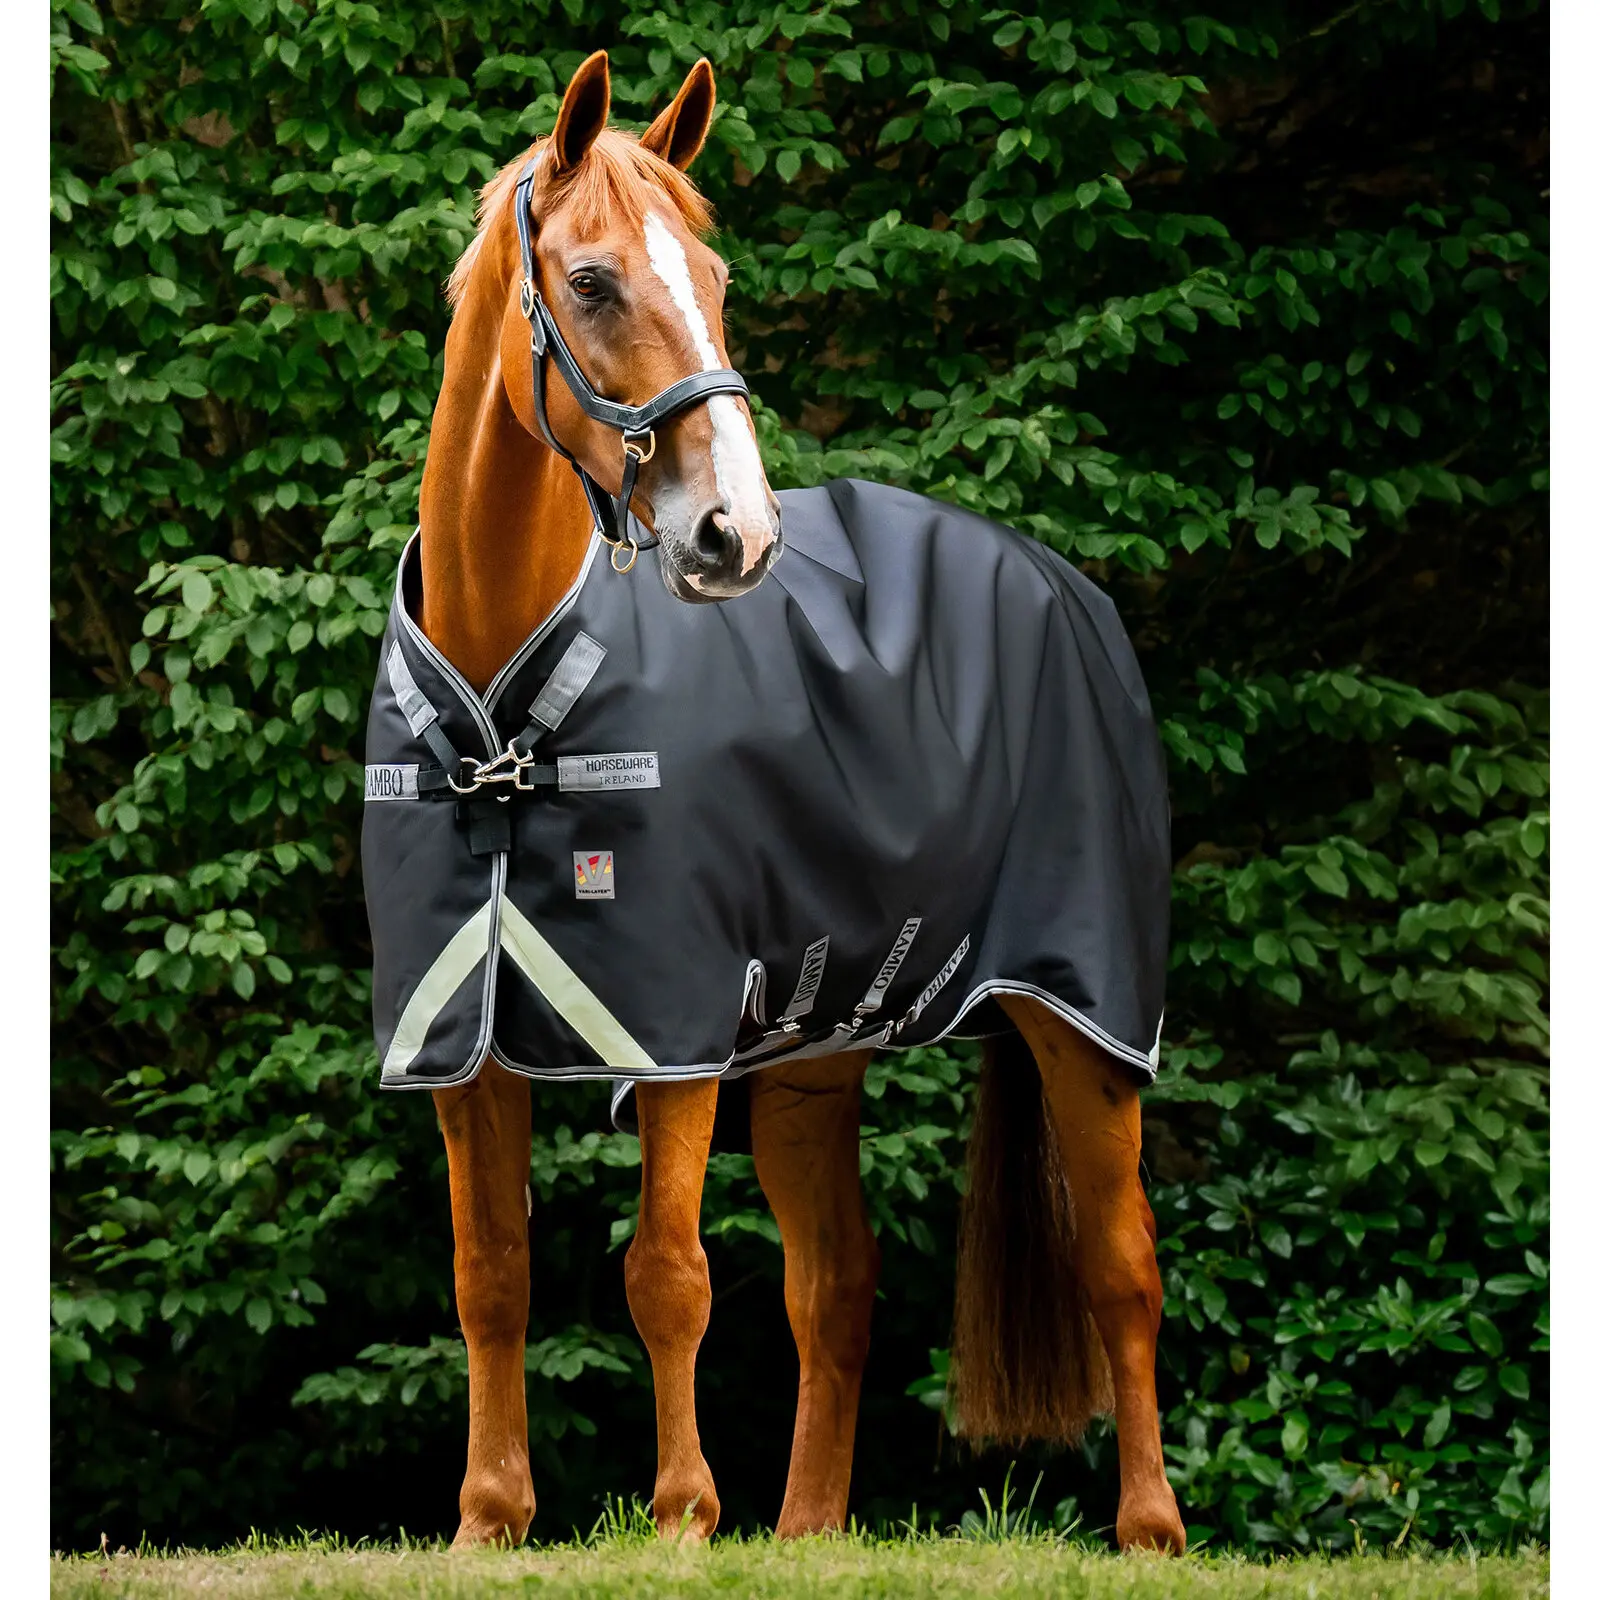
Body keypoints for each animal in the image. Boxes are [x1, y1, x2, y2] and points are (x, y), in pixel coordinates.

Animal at [390, 48, 1185, 1555]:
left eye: (714, 274)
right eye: (593, 282)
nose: (735, 536)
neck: (506, 703)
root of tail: (1062, 584)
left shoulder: (671, 1029)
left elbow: (667, 1274)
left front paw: (681, 1517)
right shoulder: (463, 1044)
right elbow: (486, 1273)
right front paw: (488, 1520)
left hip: (1083, 1010)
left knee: (1122, 1260)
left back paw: (1151, 1530)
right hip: (818, 1047)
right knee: (838, 1286)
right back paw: (809, 1527)